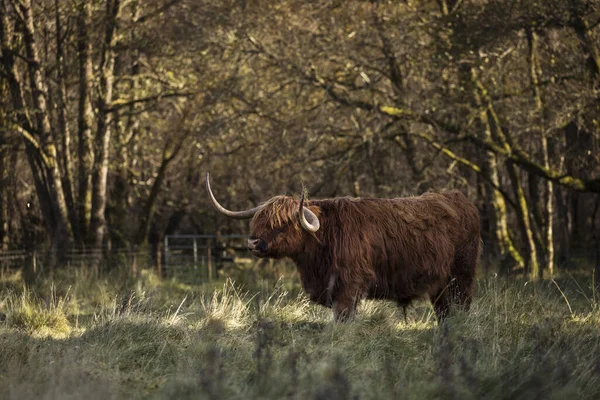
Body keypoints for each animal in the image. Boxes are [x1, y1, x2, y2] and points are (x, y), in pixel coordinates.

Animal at [204, 173, 480, 322]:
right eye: (258, 221)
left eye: (281, 223)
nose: (252, 242)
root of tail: (460, 199)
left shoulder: (350, 285)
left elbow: (343, 318)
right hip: (440, 285)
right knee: (444, 311)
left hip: (461, 276)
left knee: (461, 306)